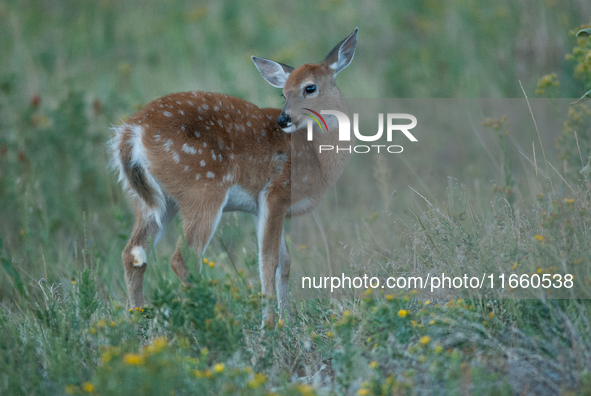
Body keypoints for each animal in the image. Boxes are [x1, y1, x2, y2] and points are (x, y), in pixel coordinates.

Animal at [111, 28, 360, 324]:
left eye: (309, 87)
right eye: (283, 93)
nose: (284, 119)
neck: (317, 158)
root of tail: (131, 133)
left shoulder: (261, 207)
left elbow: (285, 262)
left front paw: (286, 318)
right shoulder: (276, 191)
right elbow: (268, 261)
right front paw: (269, 323)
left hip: (152, 200)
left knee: (133, 253)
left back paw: (139, 317)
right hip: (204, 187)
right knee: (183, 257)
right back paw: (216, 314)